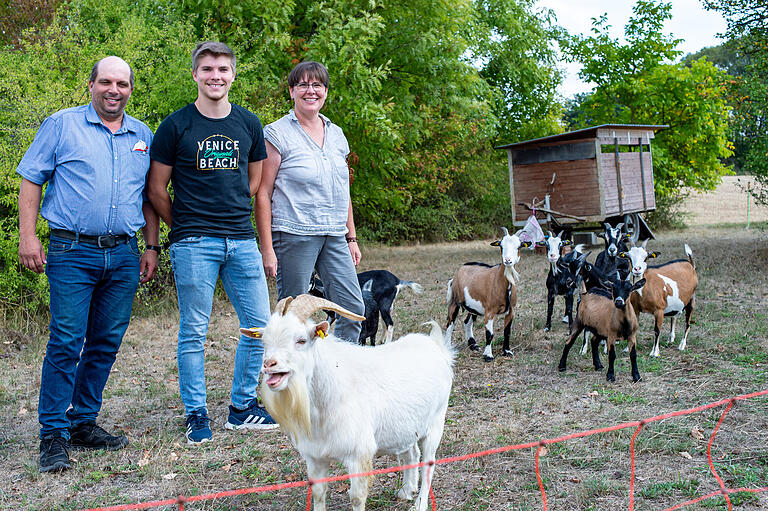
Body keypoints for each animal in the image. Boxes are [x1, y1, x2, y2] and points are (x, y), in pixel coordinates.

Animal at [242, 294, 456, 511]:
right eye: (264, 342)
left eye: (301, 340)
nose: (269, 365)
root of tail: (436, 346)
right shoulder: (315, 457)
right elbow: (319, 493)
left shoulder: (358, 456)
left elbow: (356, 497)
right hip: (407, 428)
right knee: (411, 453)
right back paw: (406, 491)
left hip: (436, 423)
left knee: (429, 463)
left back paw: (420, 503)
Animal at [448, 226, 532, 362]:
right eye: (501, 246)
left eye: (519, 246)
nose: (507, 260)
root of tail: (458, 272)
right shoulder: (489, 311)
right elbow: (489, 334)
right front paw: (488, 355)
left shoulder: (511, 310)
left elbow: (507, 331)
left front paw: (507, 351)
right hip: (454, 301)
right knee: (450, 323)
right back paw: (447, 346)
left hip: (473, 307)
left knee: (467, 322)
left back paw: (473, 345)